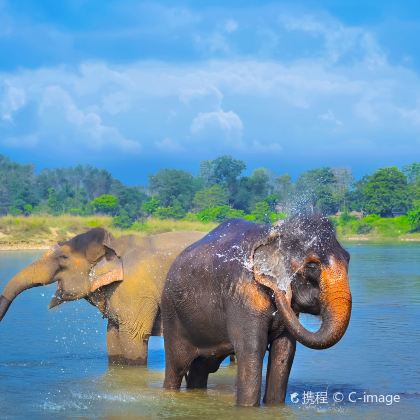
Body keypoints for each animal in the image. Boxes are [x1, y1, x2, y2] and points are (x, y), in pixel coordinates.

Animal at [161, 215, 352, 406]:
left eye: (348, 259)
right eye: (312, 266)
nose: (282, 291)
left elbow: (284, 351)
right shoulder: (243, 296)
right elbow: (252, 348)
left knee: (201, 368)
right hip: (172, 316)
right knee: (177, 367)